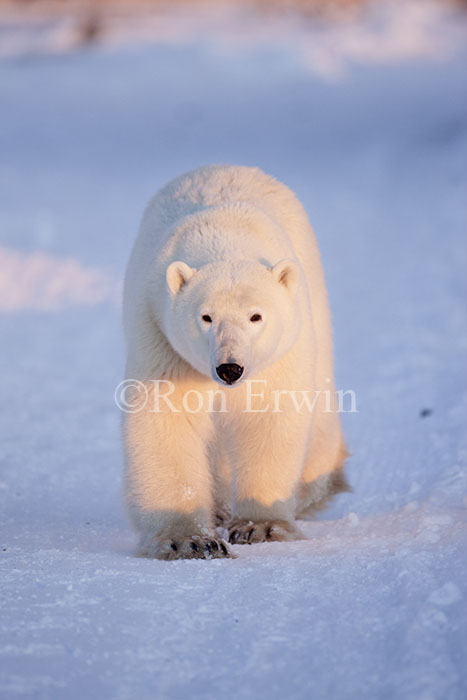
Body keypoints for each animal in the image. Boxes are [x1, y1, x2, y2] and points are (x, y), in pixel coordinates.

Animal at [122, 164, 348, 560]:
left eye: (256, 316)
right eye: (206, 317)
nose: (230, 369)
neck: (224, 236)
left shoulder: (281, 351)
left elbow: (269, 415)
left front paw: (262, 527)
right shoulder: (161, 335)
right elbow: (167, 417)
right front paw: (189, 540)